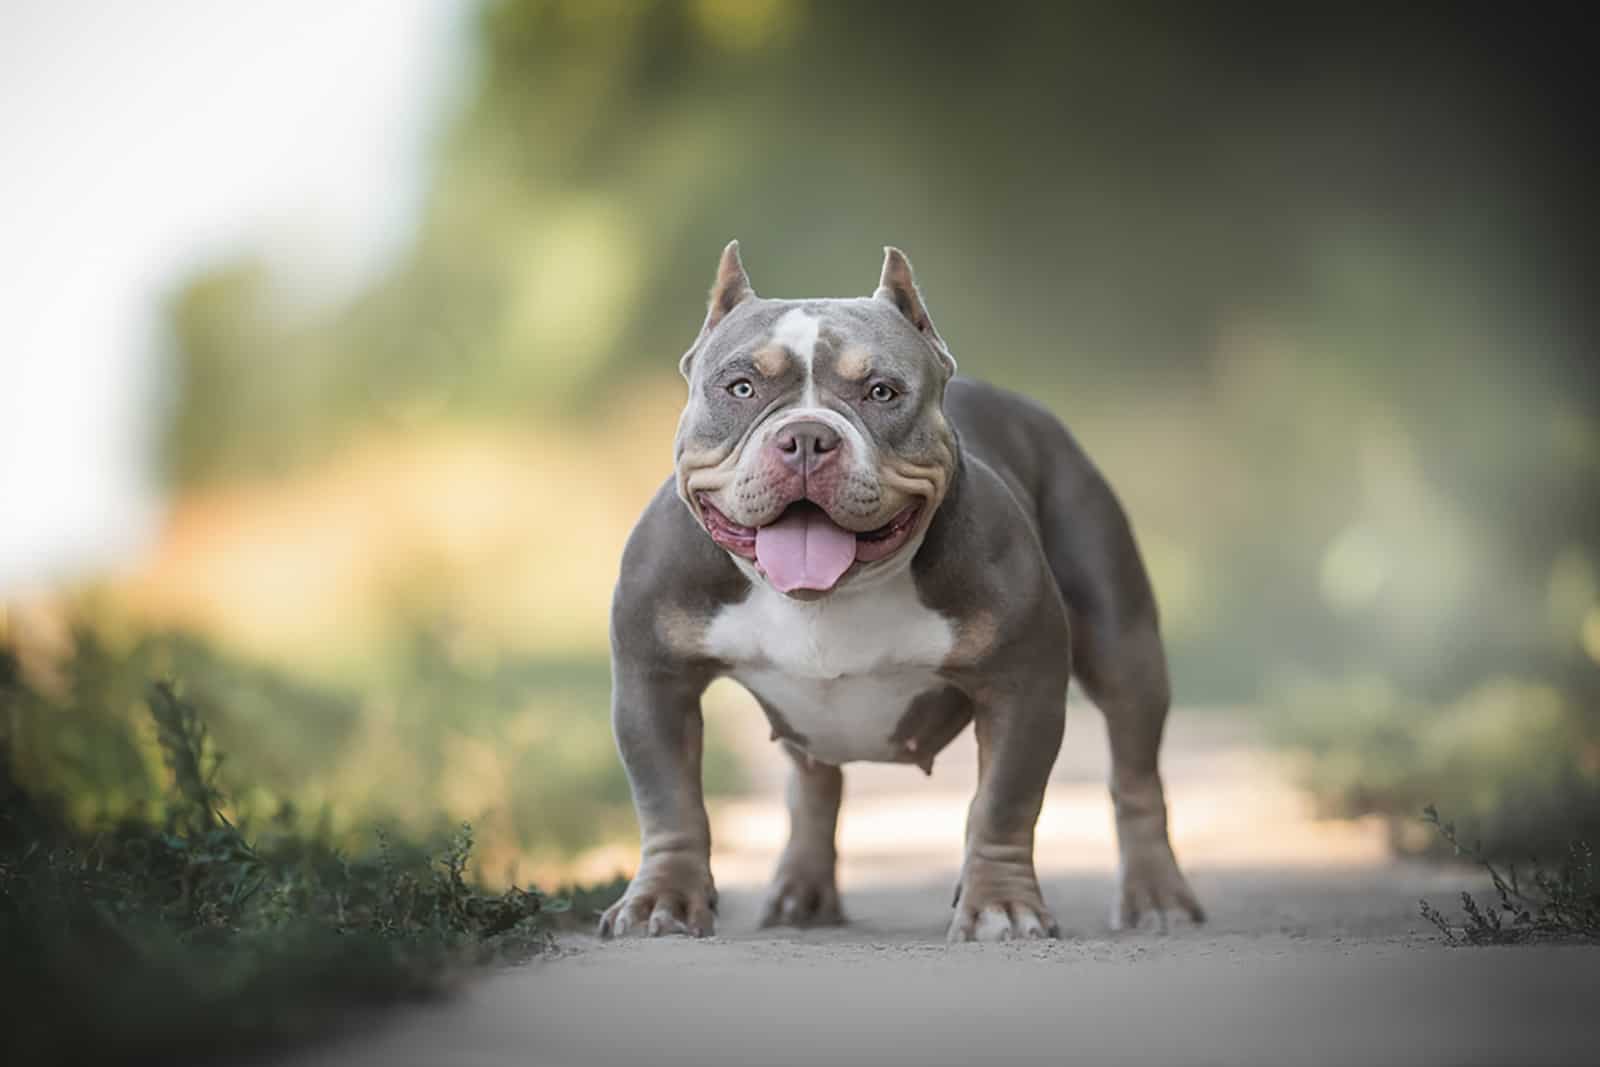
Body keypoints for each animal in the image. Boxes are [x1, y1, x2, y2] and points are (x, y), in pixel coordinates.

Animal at [601, 244, 1203, 940]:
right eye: (742, 388)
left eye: (882, 392)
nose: (806, 437)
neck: (830, 596)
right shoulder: (655, 683)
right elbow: (670, 803)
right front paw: (663, 900)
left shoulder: (1022, 687)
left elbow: (1002, 806)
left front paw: (999, 905)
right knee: (813, 785)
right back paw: (801, 892)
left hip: (1123, 647)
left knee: (1136, 775)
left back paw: (1156, 895)